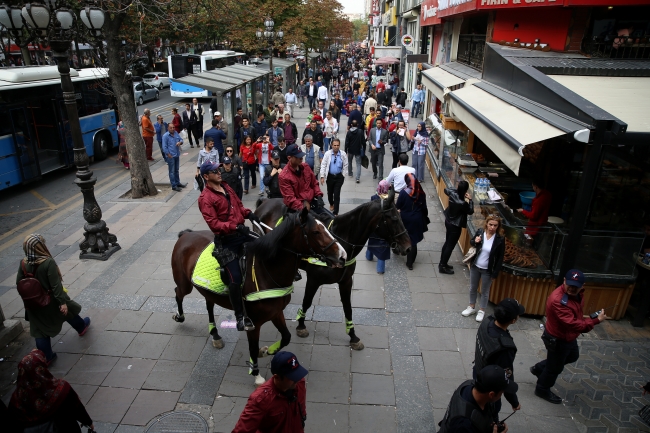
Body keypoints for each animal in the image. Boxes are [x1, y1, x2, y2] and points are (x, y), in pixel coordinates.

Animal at [170, 207, 346, 384]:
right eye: (316, 231)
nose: (343, 256)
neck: (266, 271)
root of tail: (186, 234)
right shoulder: (253, 322)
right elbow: (253, 348)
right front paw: (256, 374)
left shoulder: (276, 312)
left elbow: (286, 337)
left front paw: (267, 351)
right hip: (185, 284)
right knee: (178, 293)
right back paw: (179, 316)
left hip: (208, 291)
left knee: (209, 305)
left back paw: (215, 335)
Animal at [253, 187, 410, 350]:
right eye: (394, 218)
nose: (408, 247)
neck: (341, 240)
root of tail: (265, 201)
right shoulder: (314, 280)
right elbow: (307, 302)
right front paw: (301, 325)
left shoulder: (346, 281)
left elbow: (348, 308)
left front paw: (353, 336)